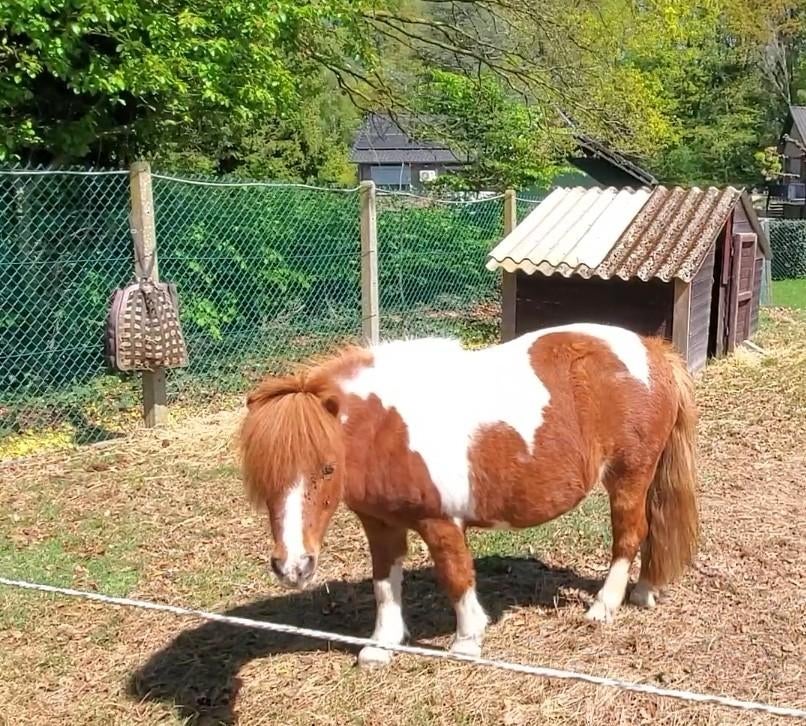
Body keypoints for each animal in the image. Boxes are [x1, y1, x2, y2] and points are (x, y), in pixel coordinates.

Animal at [238, 323, 699, 668]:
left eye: (328, 467)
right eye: (260, 477)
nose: (293, 567)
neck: (386, 428)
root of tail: (653, 350)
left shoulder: (441, 523)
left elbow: (456, 576)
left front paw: (466, 642)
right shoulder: (380, 525)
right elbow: (384, 583)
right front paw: (381, 646)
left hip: (629, 477)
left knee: (629, 535)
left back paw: (604, 607)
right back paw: (644, 592)